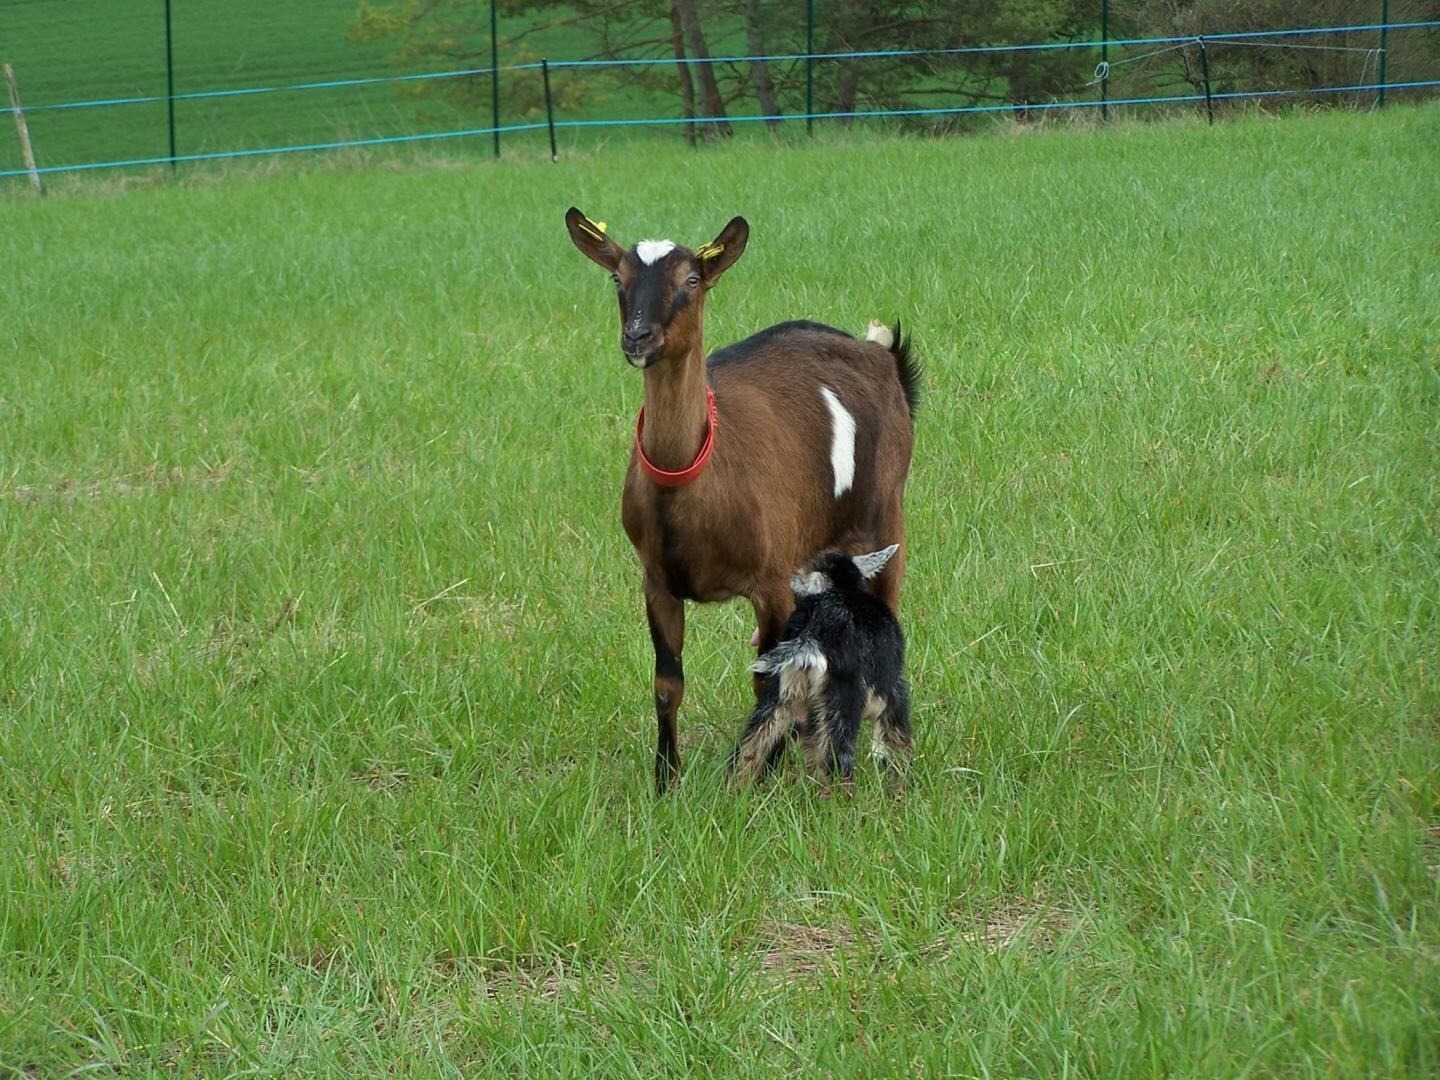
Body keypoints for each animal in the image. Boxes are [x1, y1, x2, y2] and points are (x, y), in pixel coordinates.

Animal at [730, 544, 912, 790]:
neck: (845, 587)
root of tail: (813, 634)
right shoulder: (895, 695)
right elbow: (899, 745)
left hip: (780, 697)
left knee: (751, 747)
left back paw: (737, 788)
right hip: (841, 706)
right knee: (836, 763)